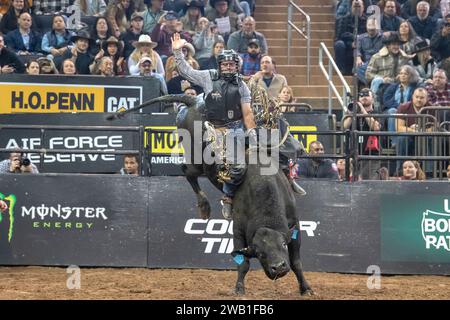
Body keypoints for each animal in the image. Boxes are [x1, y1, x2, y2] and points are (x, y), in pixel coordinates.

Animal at [108, 95, 312, 296]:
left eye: (283, 245)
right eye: (260, 253)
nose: (278, 267)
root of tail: (193, 101)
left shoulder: (294, 226)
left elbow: (296, 262)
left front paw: (306, 288)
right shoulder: (238, 229)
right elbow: (243, 263)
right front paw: (239, 288)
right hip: (197, 160)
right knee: (187, 171)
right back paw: (204, 206)